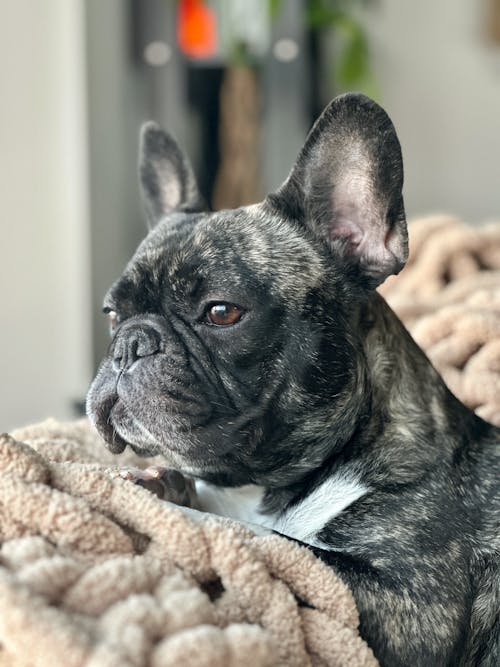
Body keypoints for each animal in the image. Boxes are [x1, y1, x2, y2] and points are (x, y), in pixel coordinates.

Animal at [88, 95, 498, 667]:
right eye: (111, 315)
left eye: (221, 312)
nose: (130, 342)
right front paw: (167, 484)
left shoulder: (411, 604)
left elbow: (268, 542)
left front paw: (168, 505)